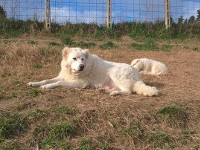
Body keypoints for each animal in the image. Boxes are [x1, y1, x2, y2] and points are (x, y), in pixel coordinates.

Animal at [28, 47, 159, 96]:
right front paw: (34, 83)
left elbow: (58, 83)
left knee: (128, 91)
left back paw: (113, 93)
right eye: (74, 58)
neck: (72, 72)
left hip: (114, 73)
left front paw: (47, 86)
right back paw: (104, 90)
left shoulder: (80, 83)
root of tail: (137, 74)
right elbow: (46, 79)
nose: (81, 66)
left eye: (82, 59)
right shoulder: (64, 77)